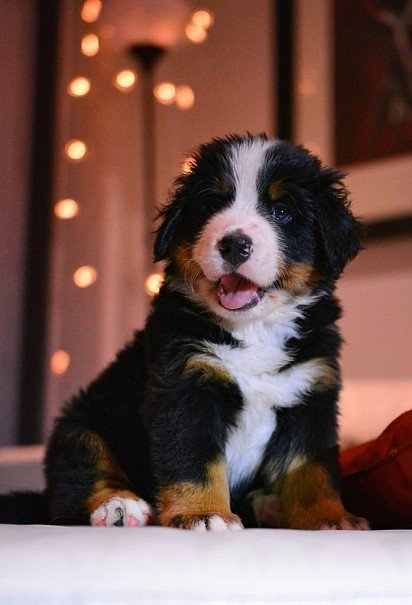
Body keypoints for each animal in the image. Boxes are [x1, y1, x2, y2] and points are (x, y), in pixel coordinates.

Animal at [3, 136, 370, 528]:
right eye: (210, 204)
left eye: (282, 211)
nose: (234, 244)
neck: (253, 329)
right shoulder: (185, 384)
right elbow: (194, 460)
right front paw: (204, 513)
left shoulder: (312, 395)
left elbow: (311, 470)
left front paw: (331, 519)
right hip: (80, 427)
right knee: (77, 484)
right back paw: (120, 506)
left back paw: (269, 506)